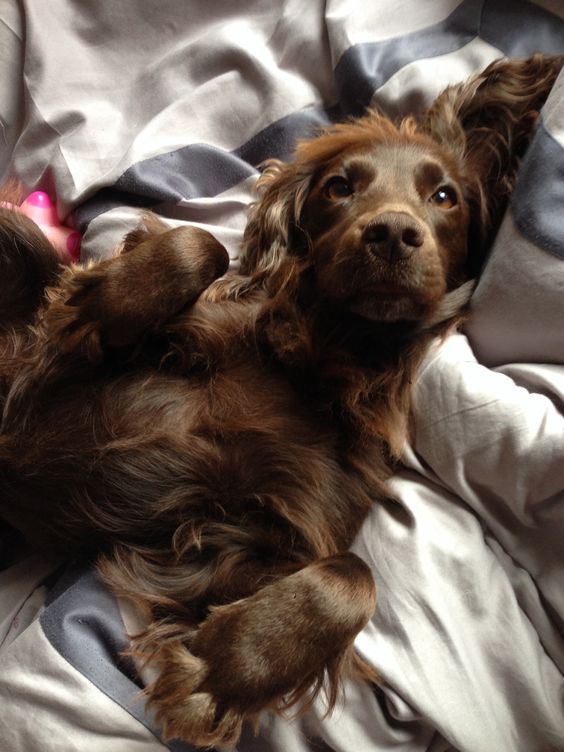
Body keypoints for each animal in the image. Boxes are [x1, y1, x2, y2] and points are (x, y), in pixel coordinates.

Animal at [2, 54, 560, 748]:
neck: (317, 360)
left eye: (444, 197)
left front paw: (219, 677)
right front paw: (99, 304)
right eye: (339, 187)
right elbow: (201, 246)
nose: (391, 234)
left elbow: (352, 579)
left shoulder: (241, 544)